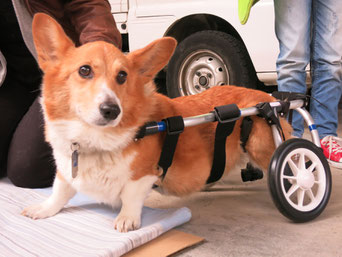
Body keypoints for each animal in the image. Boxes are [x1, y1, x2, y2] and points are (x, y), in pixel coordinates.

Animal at [22, 13, 292, 231]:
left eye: (122, 76)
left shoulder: (144, 174)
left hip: (265, 144)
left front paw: (126, 220)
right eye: (84, 70)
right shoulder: (66, 169)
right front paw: (43, 209)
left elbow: (130, 195)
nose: (111, 110)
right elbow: (60, 190)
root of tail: (268, 97)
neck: (96, 140)